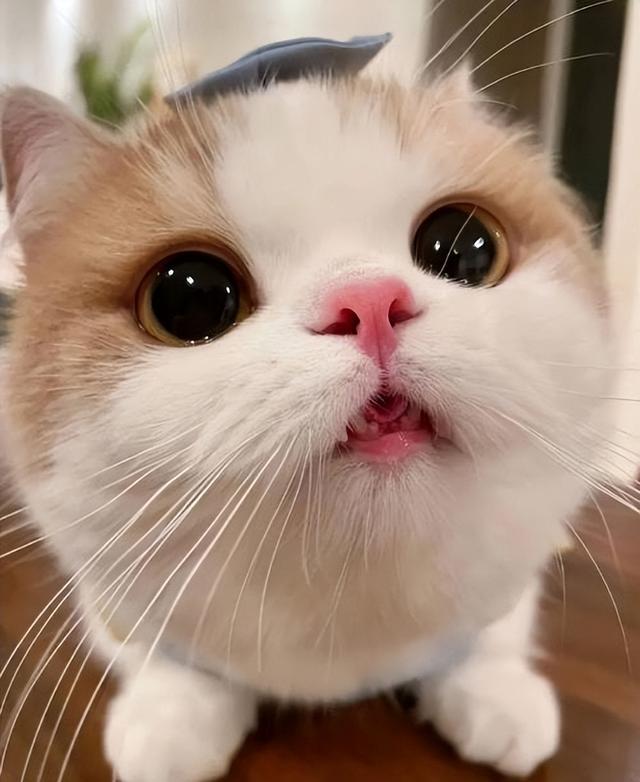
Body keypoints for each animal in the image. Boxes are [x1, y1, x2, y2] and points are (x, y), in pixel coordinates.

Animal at [0, 62, 609, 782]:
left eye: (465, 247)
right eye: (187, 296)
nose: (369, 300)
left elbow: (496, 626)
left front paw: (494, 689)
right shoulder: (107, 589)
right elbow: (154, 650)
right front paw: (172, 716)